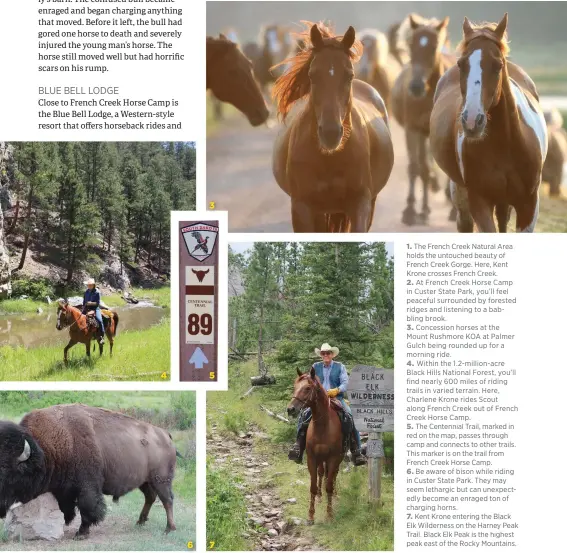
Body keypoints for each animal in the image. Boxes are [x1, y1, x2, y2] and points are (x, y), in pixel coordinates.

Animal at [0, 404, 176, 536]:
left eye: (7, 471)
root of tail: (165, 435)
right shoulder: (64, 490)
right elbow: (67, 507)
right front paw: (67, 522)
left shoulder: (87, 487)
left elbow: (87, 506)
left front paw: (81, 533)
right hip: (145, 481)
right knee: (150, 497)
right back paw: (140, 522)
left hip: (161, 479)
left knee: (167, 500)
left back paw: (169, 529)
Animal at [288, 366, 342, 520]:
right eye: (295, 387)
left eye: (307, 388)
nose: (290, 409)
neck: (323, 426)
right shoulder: (312, 458)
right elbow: (312, 485)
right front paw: (311, 515)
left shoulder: (333, 458)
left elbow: (329, 485)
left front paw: (329, 513)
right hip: (320, 459)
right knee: (322, 473)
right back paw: (319, 496)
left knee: (333, 475)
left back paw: (334, 495)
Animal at [392, 16, 454, 225]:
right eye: (411, 45)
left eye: (434, 47)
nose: (416, 87)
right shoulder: (413, 129)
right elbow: (415, 167)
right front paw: (411, 211)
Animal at [430, 14, 552, 231]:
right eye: (461, 64)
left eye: (498, 66)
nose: (472, 121)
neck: (505, 145)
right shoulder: (479, 201)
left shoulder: (528, 205)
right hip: (460, 192)